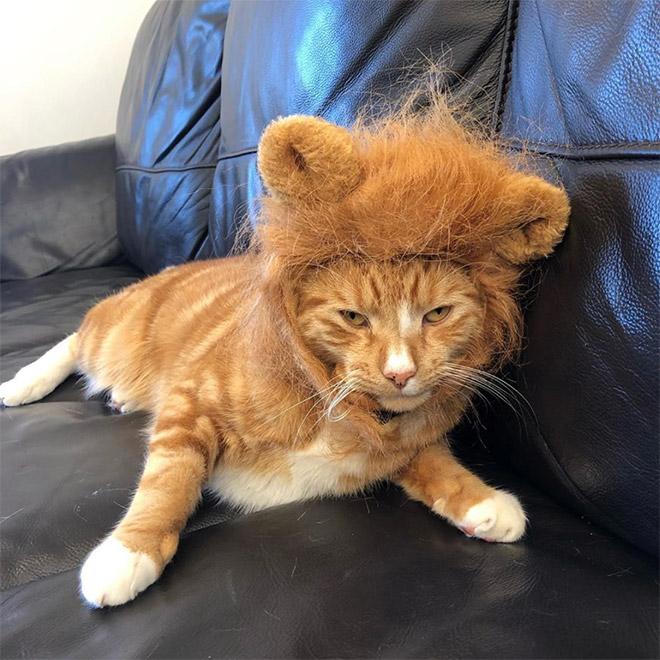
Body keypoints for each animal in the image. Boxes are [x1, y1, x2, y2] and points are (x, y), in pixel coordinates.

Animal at [0, 94, 568, 608]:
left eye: (437, 314)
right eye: (353, 317)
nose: (400, 373)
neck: (332, 403)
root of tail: (166, 270)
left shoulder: (399, 442)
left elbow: (436, 464)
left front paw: (483, 502)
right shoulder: (190, 405)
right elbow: (168, 482)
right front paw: (128, 554)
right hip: (111, 337)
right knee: (74, 337)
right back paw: (22, 383)